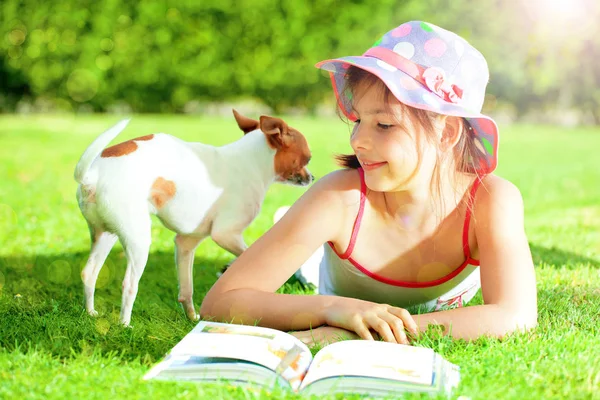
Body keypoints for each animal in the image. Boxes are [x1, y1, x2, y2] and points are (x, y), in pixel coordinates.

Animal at [74, 109, 314, 324]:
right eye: (307, 159)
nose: (312, 177)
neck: (250, 162)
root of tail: (91, 176)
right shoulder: (225, 234)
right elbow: (247, 254)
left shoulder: (186, 243)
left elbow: (186, 289)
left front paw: (192, 317)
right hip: (138, 241)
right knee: (129, 284)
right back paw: (125, 325)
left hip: (106, 235)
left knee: (89, 273)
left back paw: (90, 313)